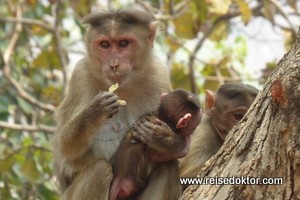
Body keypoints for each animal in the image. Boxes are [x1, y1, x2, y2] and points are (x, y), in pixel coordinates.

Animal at [51, 4, 188, 200]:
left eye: (123, 43)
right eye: (105, 45)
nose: (114, 64)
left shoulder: (158, 75)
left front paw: (164, 139)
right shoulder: (80, 75)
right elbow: (64, 151)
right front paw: (96, 111)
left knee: (167, 168)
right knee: (100, 170)